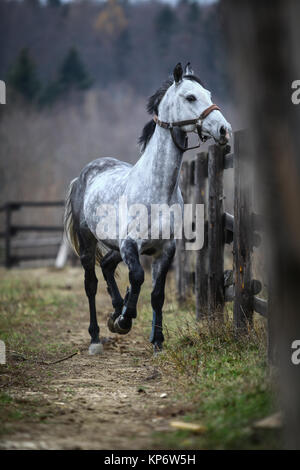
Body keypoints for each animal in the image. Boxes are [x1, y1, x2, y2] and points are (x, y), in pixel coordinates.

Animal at [63, 64, 232, 354]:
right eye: (190, 97)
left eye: (208, 94)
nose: (224, 129)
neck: (157, 189)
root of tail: (83, 175)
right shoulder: (131, 245)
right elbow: (138, 277)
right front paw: (125, 320)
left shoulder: (165, 250)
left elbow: (156, 294)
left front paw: (157, 341)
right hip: (88, 244)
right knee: (91, 284)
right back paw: (96, 337)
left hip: (115, 246)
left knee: (107, 266)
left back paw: (115, 311)